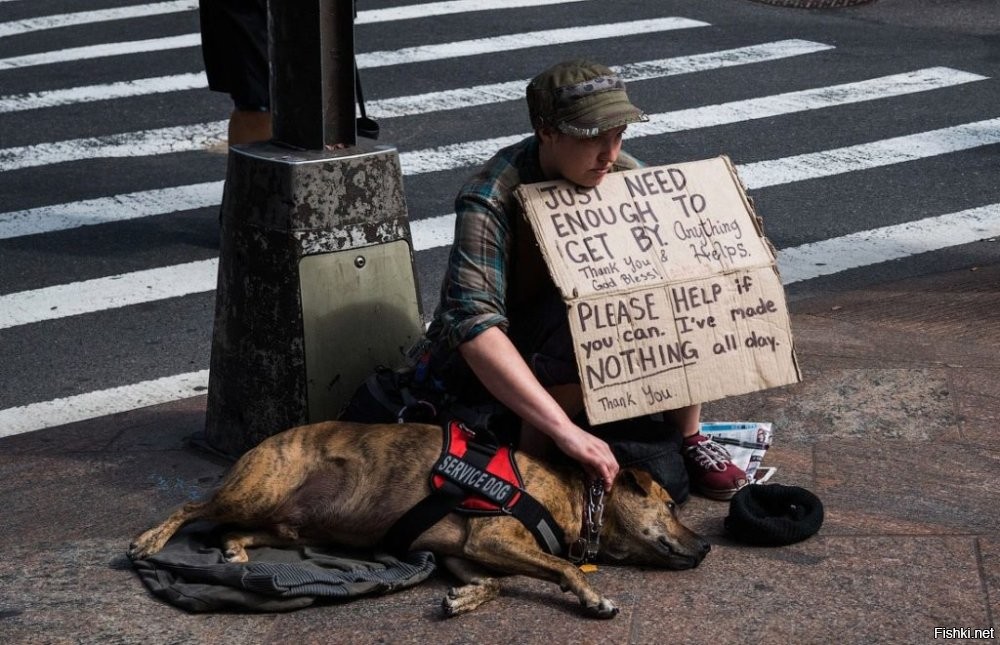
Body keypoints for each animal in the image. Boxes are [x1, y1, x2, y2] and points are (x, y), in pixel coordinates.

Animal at [129, 420, 712, 616]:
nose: (706, 546)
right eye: (670, 507)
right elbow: (564, 568)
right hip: (258, 489)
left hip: (284, 519)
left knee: (233, 529)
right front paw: (594, 598)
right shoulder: (492, 538)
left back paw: (233, 551)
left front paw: (465, 599)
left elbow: (495, 584)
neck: (574, 499)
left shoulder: (464, 552)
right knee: (192, 508)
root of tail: (263, 443)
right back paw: (148, 540)